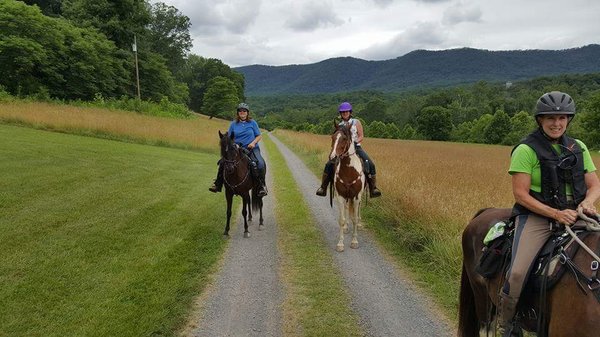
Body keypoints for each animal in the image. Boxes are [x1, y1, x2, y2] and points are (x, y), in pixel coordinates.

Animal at [330, 122, 364, 251]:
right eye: (332, 137)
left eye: (344, 138)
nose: (333, 157)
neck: (349, 171)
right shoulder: (340, 196)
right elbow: (342, 219)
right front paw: (340, 243)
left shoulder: (356, 196)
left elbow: (354, 218)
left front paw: (354, 241)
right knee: (346, 209)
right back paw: (346, 228)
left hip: (359, 197)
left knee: (357, 212)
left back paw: (359, 224)